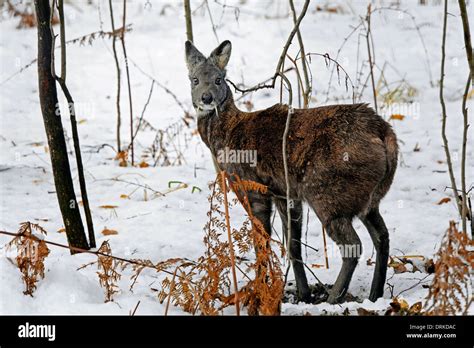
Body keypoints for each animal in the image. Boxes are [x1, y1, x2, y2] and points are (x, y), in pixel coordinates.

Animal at [185, 39, 396, 304]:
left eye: (218, 79)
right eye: (194, 79)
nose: (206, 98)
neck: (227, 136)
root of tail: (384, 133)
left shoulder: (252, 186)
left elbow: (261, 242)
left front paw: (259, 291)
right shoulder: (285, 192)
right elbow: (293, 245)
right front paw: (303, 294)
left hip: (327, 193)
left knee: (353, 245)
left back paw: (333, 297)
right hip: (368, 198)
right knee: (382, 236)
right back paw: (375, 294)